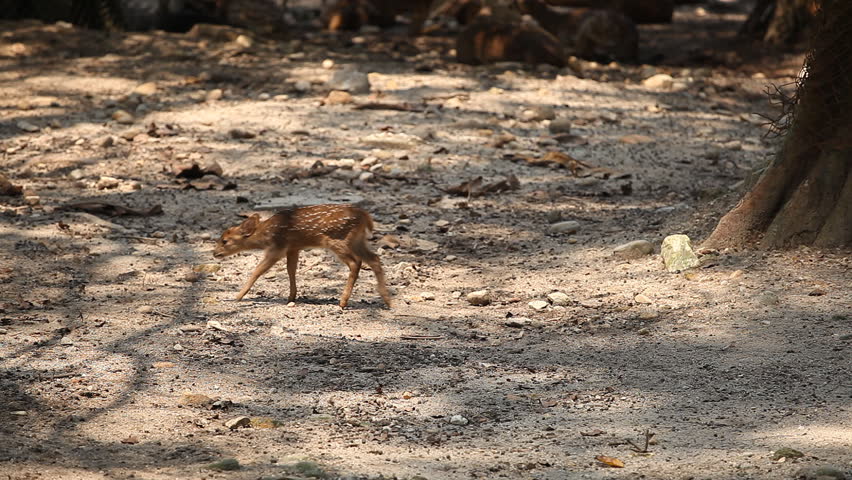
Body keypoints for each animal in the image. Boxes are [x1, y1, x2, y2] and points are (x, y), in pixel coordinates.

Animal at [213, 204, 392, 309]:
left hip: (336, 239)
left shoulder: (277, 247)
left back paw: (343, 302)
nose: (214, 253)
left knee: (355, 262)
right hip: (356, 240)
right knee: (374, 259)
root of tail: (365, 216)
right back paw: (387, 300)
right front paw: (291, 297)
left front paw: (238, 296)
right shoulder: (293, 247)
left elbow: (258, 270)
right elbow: (291, 269)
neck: (265, 234)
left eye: (225, 241)